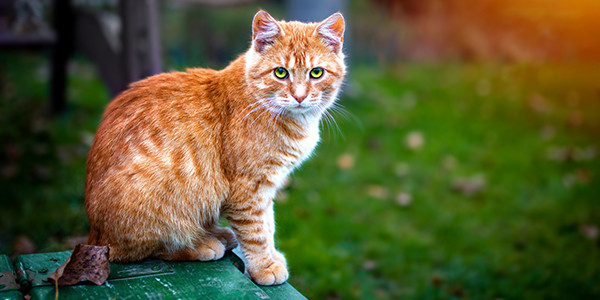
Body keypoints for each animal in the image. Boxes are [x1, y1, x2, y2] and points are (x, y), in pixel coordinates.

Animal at [85, 9, 346, 286]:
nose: (299, 96)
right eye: (280, 73)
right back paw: (201, 244)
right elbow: (256, 232)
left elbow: (269, 224)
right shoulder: (248, 188)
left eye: (316, 73)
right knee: (145, 248)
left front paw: (272, 256)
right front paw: (263, 266)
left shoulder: (267, 186)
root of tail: (94, 236)